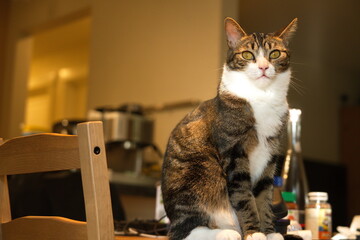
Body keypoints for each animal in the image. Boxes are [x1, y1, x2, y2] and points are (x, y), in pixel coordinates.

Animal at [162, 17, 298, 240]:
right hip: (199, 175)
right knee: (182, 232)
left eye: (275, 54)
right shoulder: (234, 153)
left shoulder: (270, 155)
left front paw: (269, 232)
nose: (263, 67)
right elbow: (245, 197)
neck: (262, 97)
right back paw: (226, 233)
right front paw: (254, 233)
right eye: (248, 54)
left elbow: (264, 198)